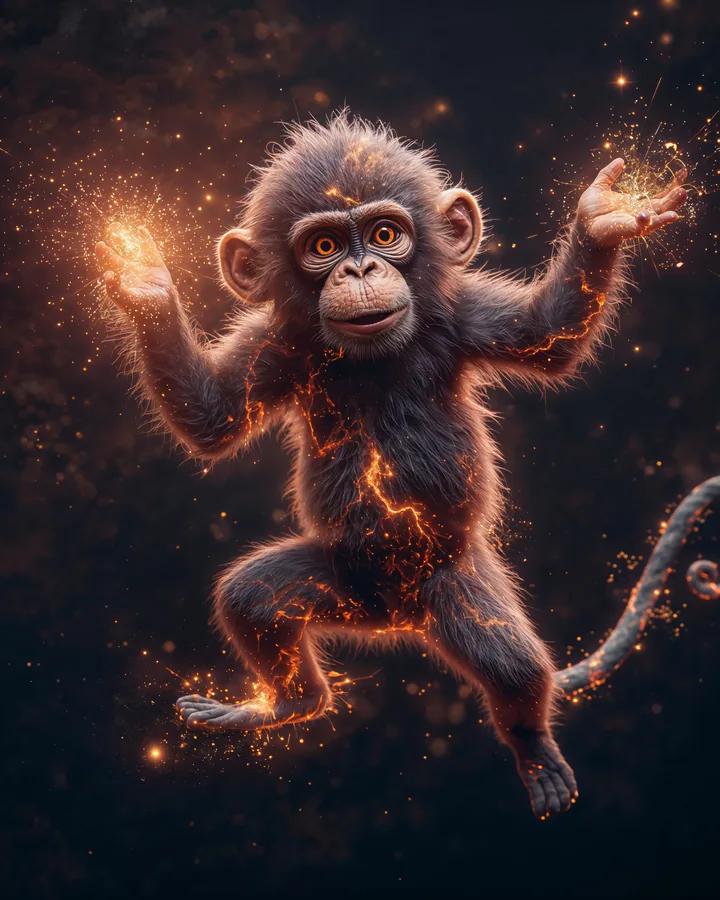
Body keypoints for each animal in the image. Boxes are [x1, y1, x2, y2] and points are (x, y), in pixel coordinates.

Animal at [95, 114, 687, 819]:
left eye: (385, 234)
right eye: (323, 245)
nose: (358, 267)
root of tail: (397, 622)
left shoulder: (464, 316)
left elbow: (550, 334)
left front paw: (604, 218)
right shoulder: (277, 345)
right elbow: (215, 417)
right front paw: (147, 287)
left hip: (456, 584)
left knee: (512, 666)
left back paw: (534, 749)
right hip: (337, 583)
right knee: (252, 599)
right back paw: (288, 703)